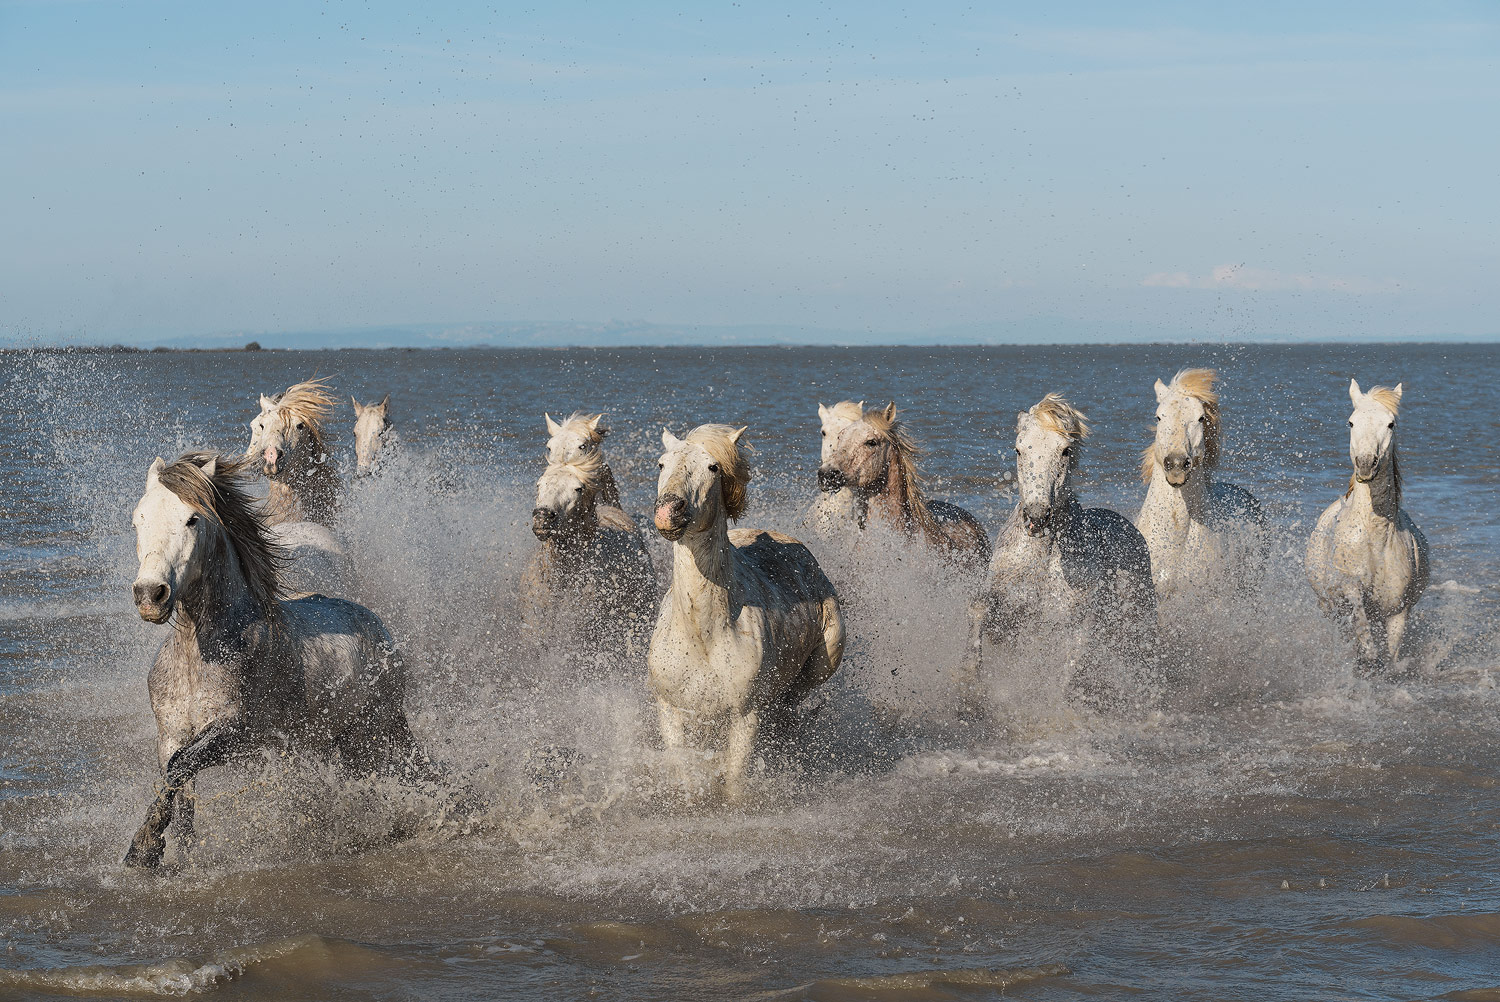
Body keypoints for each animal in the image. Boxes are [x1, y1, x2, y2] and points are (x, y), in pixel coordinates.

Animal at [124, 452, 429, 868]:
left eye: (192, 519)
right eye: (138, 518)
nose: (150, 595)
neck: (198, 659)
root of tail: (377, 626)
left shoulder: (234, 733)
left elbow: (180, 769)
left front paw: (143, 848)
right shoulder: (169, 735)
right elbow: (178, 790)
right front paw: (170, 854)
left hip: (377, 732)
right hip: (336, 744)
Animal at [649, 424, 844, 801]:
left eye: (712, 467)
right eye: (662, 463)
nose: (669, 510)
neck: (702, 633)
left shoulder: (745, 716)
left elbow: (735, 782)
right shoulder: (672, 712)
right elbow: (684, 771)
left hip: (819, 666)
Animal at [965, 394, 1157, 701]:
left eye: (1065, 451)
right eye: (1019, 449)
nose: (1036, 515)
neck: (1041, 558)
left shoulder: (1074, 619)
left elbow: (1069, 666)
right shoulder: (1005, 603)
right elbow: (979, 608)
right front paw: (969, 679)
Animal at [1305, 380, 1430, 674]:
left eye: (1391, 424)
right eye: (1351, 422)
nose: (1365, 463)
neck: (1374, 538)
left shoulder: (1397, 611)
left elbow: (1391, 655)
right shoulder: (1350, 589)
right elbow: (1362, 629)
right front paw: (1366, 660)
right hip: (1328, 606)